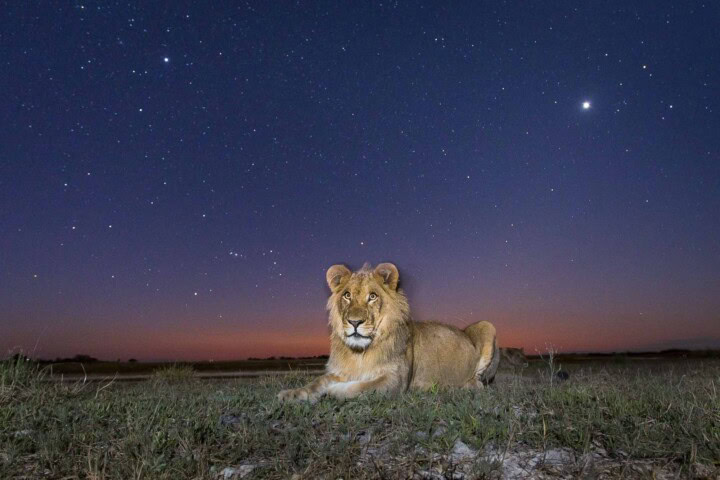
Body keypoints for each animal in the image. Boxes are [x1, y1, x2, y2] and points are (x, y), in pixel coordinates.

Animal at [277, 263, 500, 402]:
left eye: (372, 296)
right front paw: (292, 394)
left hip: (487, 325)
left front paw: (332, 391)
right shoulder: (341, 371)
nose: (354, 322)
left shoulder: (395, 380)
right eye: (347, 295)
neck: (360, 353)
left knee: (480, 384)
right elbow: (318, 381)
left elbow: (360, 388)